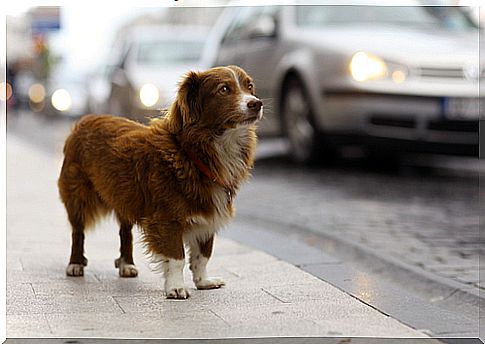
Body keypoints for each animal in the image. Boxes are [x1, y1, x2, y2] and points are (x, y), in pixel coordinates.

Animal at [58, 64, 262, 298]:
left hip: (124, 196)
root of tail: (84, 119)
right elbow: (177, 257)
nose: (256, 103)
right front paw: (175, 287)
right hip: (77, 196)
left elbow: (202, 256)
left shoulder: (207, 216)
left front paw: (203, 281)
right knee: (78, 232)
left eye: (249, 86)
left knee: (125, 232)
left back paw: (127, 264)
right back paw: (75, 264)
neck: (191, 153)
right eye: (224, 89)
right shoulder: (167, 219)